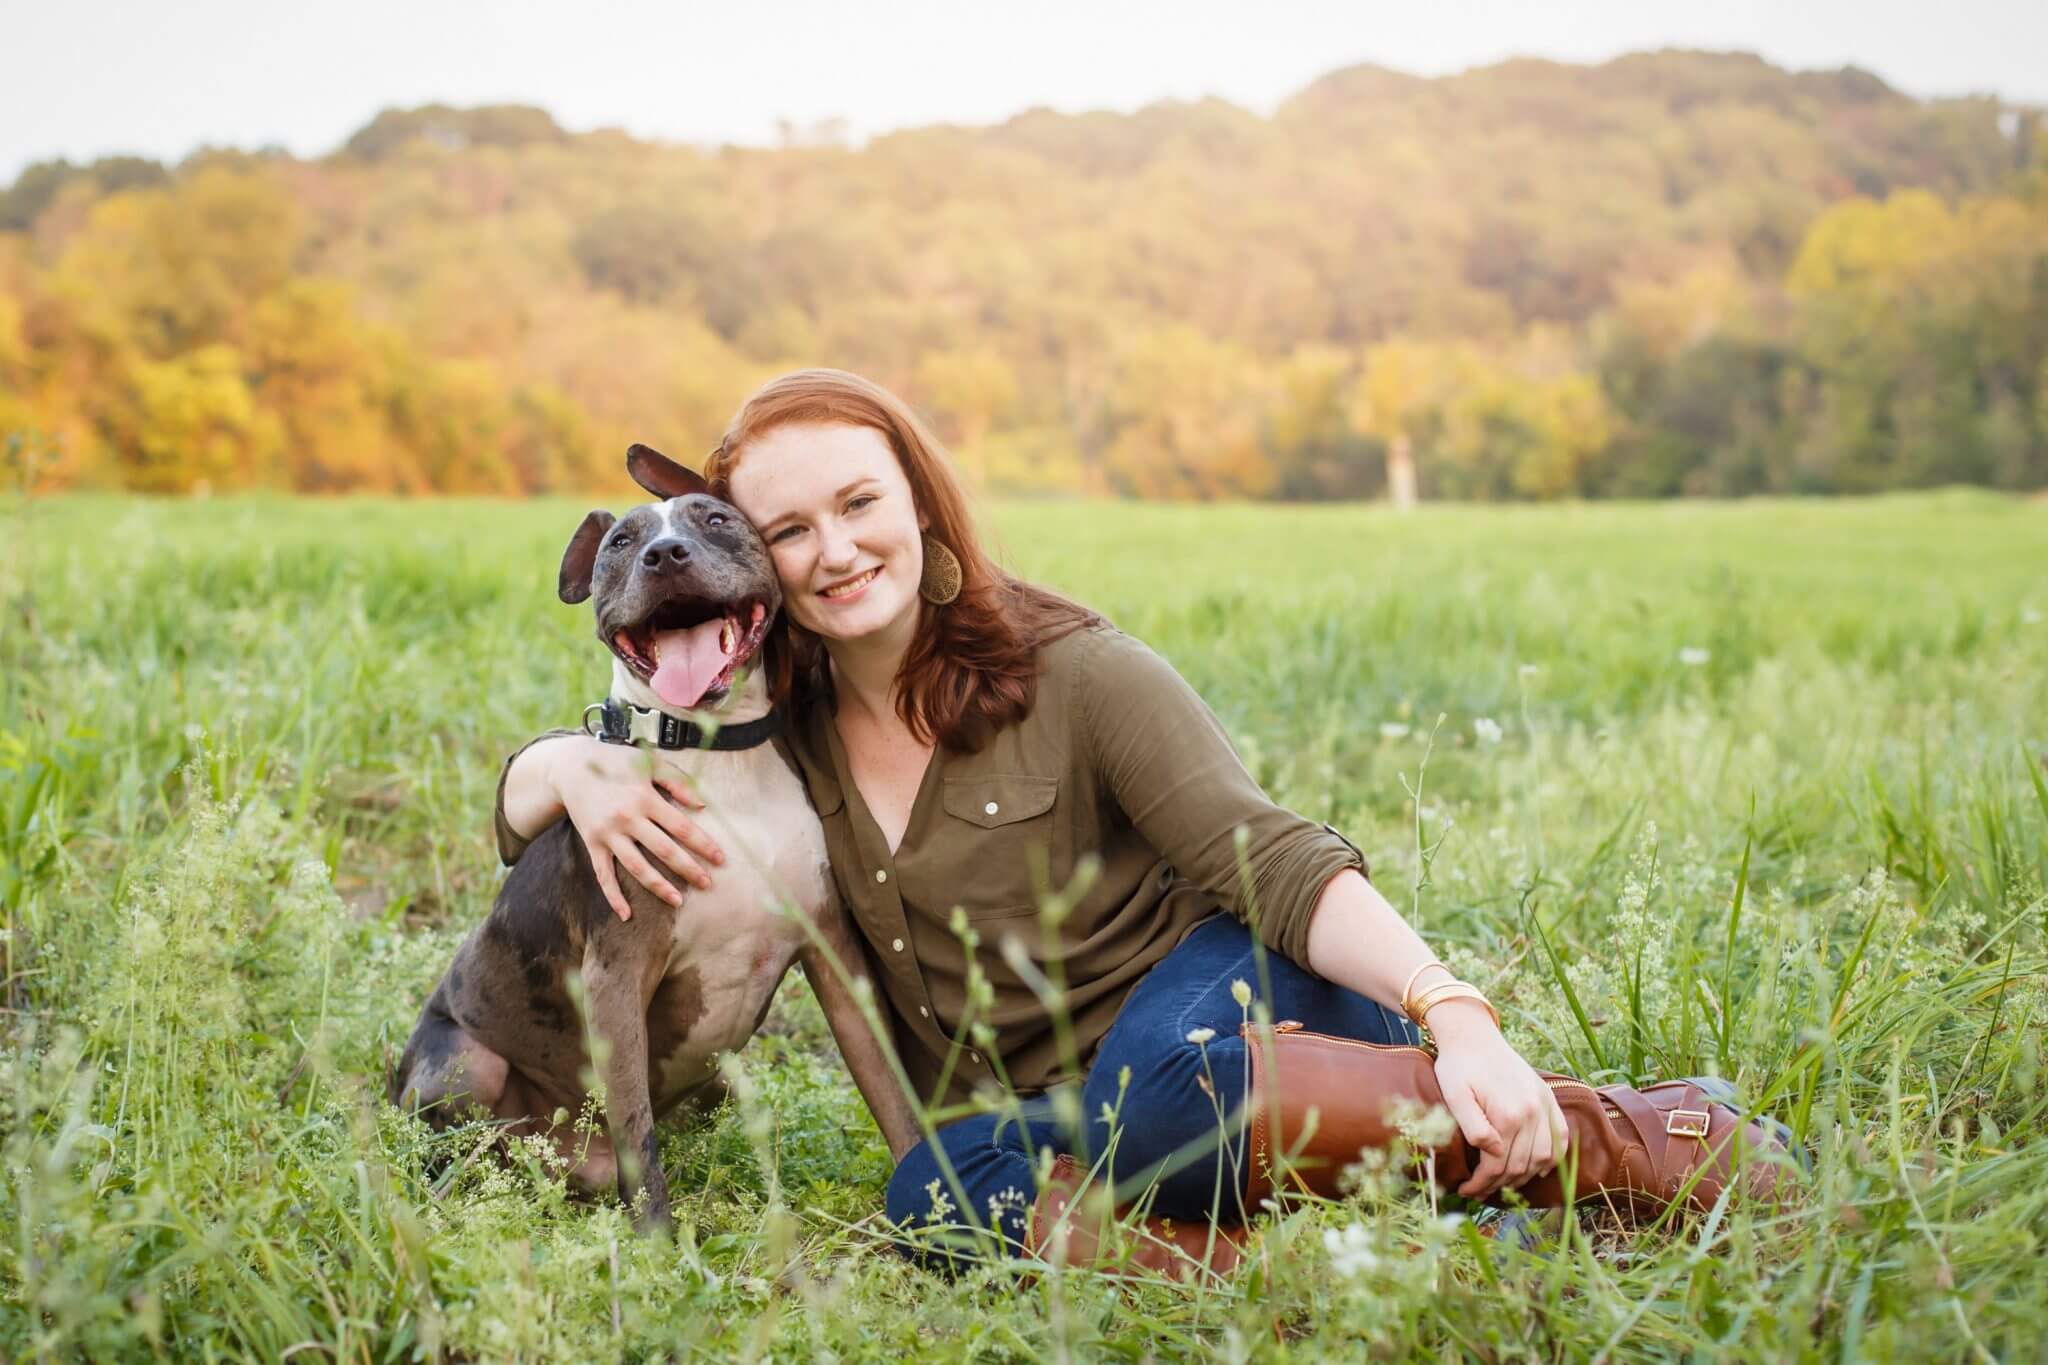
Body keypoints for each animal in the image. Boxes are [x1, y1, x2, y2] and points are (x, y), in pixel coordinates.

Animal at [389, 446, 913, 1227]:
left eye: (717, 519)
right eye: (619, 543)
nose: (665, 554)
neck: (715, 749)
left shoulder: (835, 955)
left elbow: (893, 1093)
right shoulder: (616, 975)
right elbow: (639, 1136)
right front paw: (659, 1247)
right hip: (465, 1065)